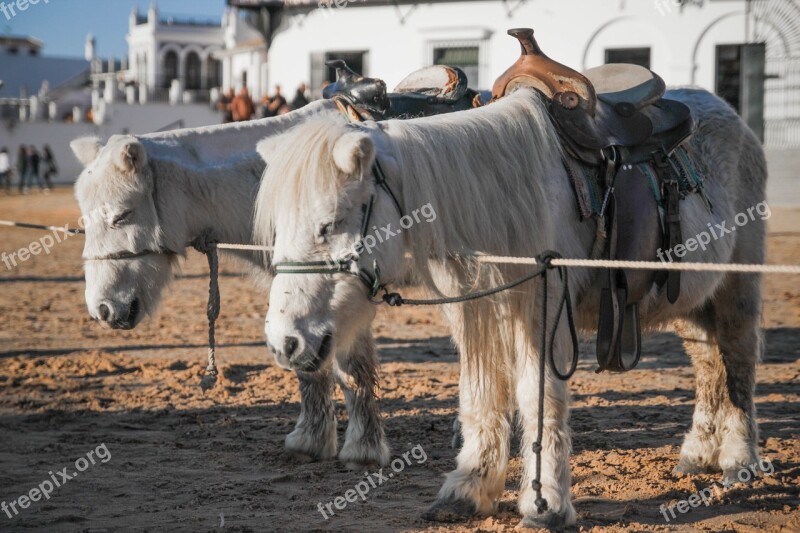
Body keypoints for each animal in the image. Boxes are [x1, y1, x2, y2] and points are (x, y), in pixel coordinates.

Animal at [70, 98, 390, 466]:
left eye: (122, 215)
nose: (102, 309)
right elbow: (309, 363)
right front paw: (310, 441)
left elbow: (353, 367)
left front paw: (363, 450)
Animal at [256, 88, 768, 528]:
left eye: (328, 224)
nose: (285, 343)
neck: (500, 196)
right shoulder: (474, 309)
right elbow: (480, 395)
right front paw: (468, 489)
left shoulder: (542, 310)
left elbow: (538, 396)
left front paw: (548, 503)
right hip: (692, 302)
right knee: (708, 364)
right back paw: (699, 453)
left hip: (738, 288)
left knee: (738, 361)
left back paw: (739, 460)